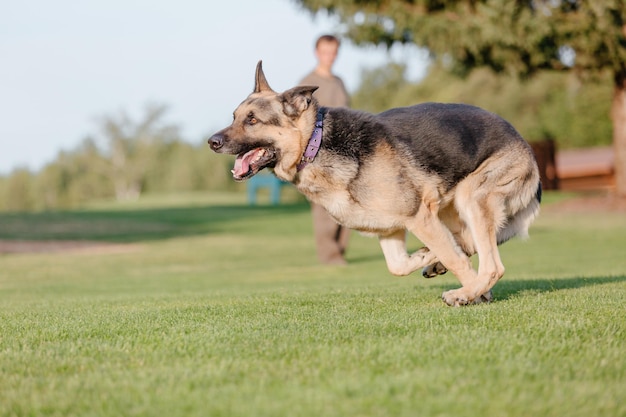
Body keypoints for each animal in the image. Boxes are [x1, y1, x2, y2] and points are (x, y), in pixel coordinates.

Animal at [207, 61, 540, 306]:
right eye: (234, 117)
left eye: (252, 120)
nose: (212, 142)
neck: (315, 142)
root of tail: (524, 144)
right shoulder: (390, 228)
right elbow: (399, 266)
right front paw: (427, 257)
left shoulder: (418, 216)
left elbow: (459, 261)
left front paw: (472, 292)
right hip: (451, 206)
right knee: (467, 242)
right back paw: (439, 262)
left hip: (471, 197)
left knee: (492, 265)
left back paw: (466, 288)